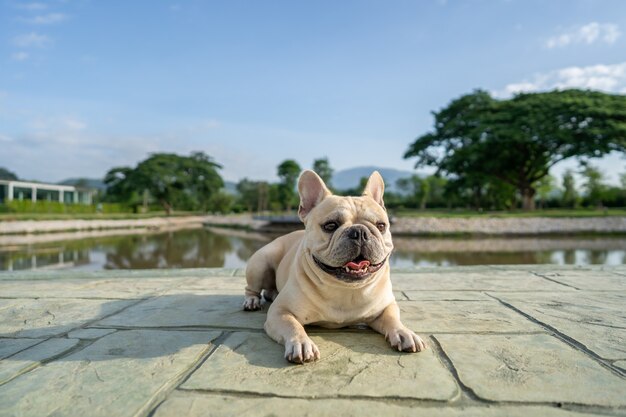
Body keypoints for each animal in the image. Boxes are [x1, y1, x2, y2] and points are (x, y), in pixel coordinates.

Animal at [241, 169, 426, 360]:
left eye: (381, 226)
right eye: (330, 225)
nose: (359, 232)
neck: (345, 289)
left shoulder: (385, 307)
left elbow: (393, 318)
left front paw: (404, 333)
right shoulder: (280, 311)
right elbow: (293, 325)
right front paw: (301, 343)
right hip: (259, 264)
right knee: (252, 289)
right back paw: (252, 301)